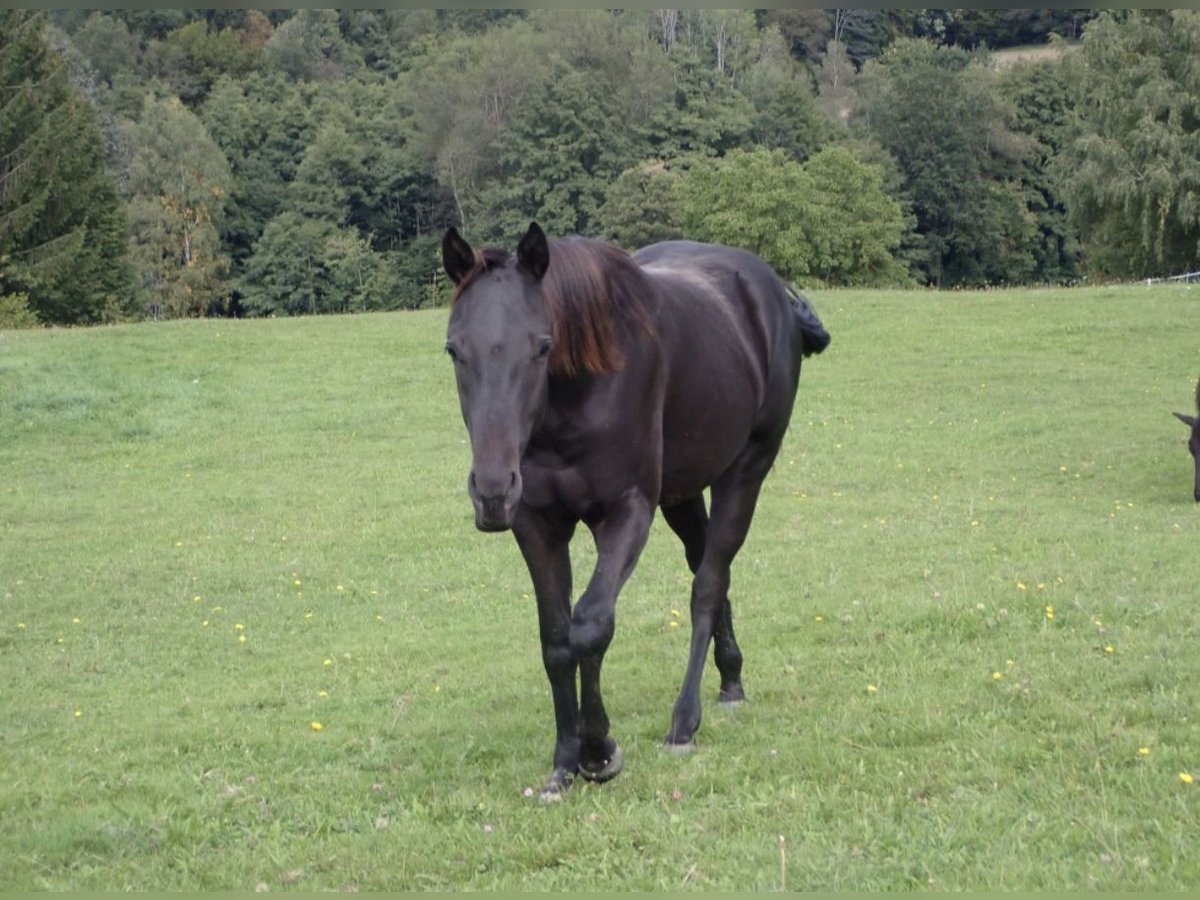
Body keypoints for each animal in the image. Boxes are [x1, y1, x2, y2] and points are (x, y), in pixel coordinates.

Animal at [446, 222, 830, 801]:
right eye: (453, 350)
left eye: (542, 346)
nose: (492, 490)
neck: (579, 394)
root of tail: (770, 289)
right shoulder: (536, 524)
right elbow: (555, 638)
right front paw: (563, 763)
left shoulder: (627, 513)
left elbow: (590, 626)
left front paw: (599, 752)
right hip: (683, 494)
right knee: (707, 568)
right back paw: (730, 679)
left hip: (746, 471)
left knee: (707, 584)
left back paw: (684, 722)